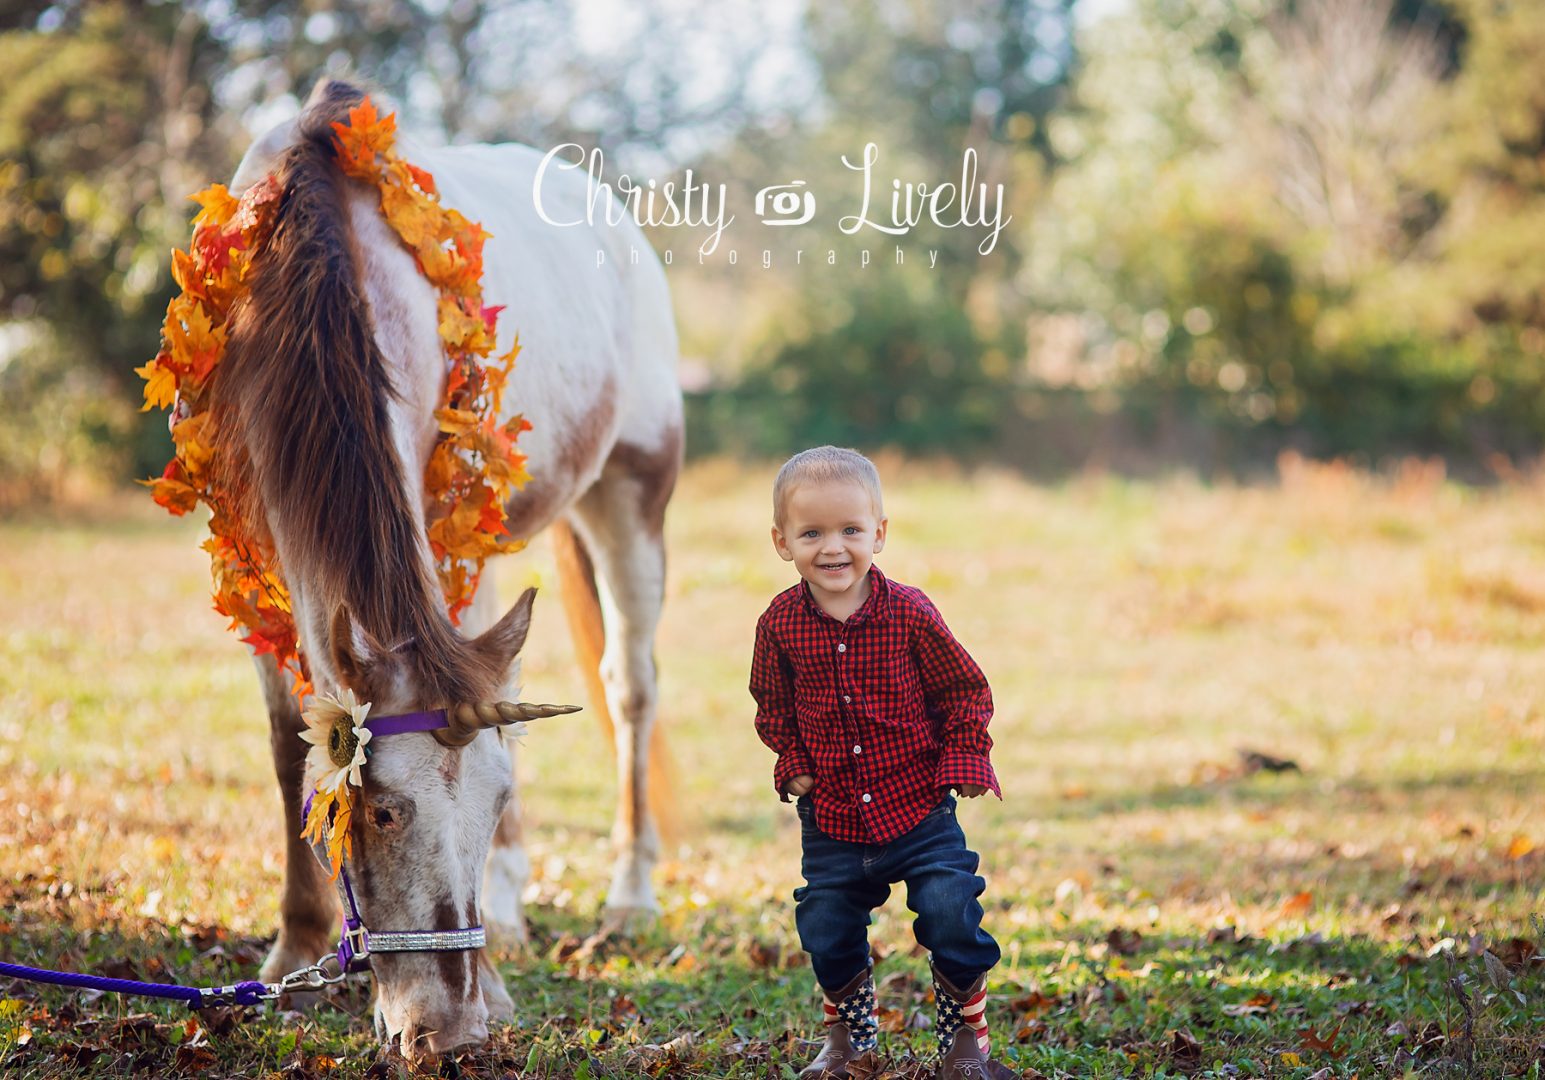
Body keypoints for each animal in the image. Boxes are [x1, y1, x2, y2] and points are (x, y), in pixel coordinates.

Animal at [220, 82, 679, 1056]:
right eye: (382, 811)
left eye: (495, 800)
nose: (452, 1030)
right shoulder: (254, 551)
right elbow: (287, 745)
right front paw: (295, 951)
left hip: (631, 491)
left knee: (630, 689)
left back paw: (627, 896)